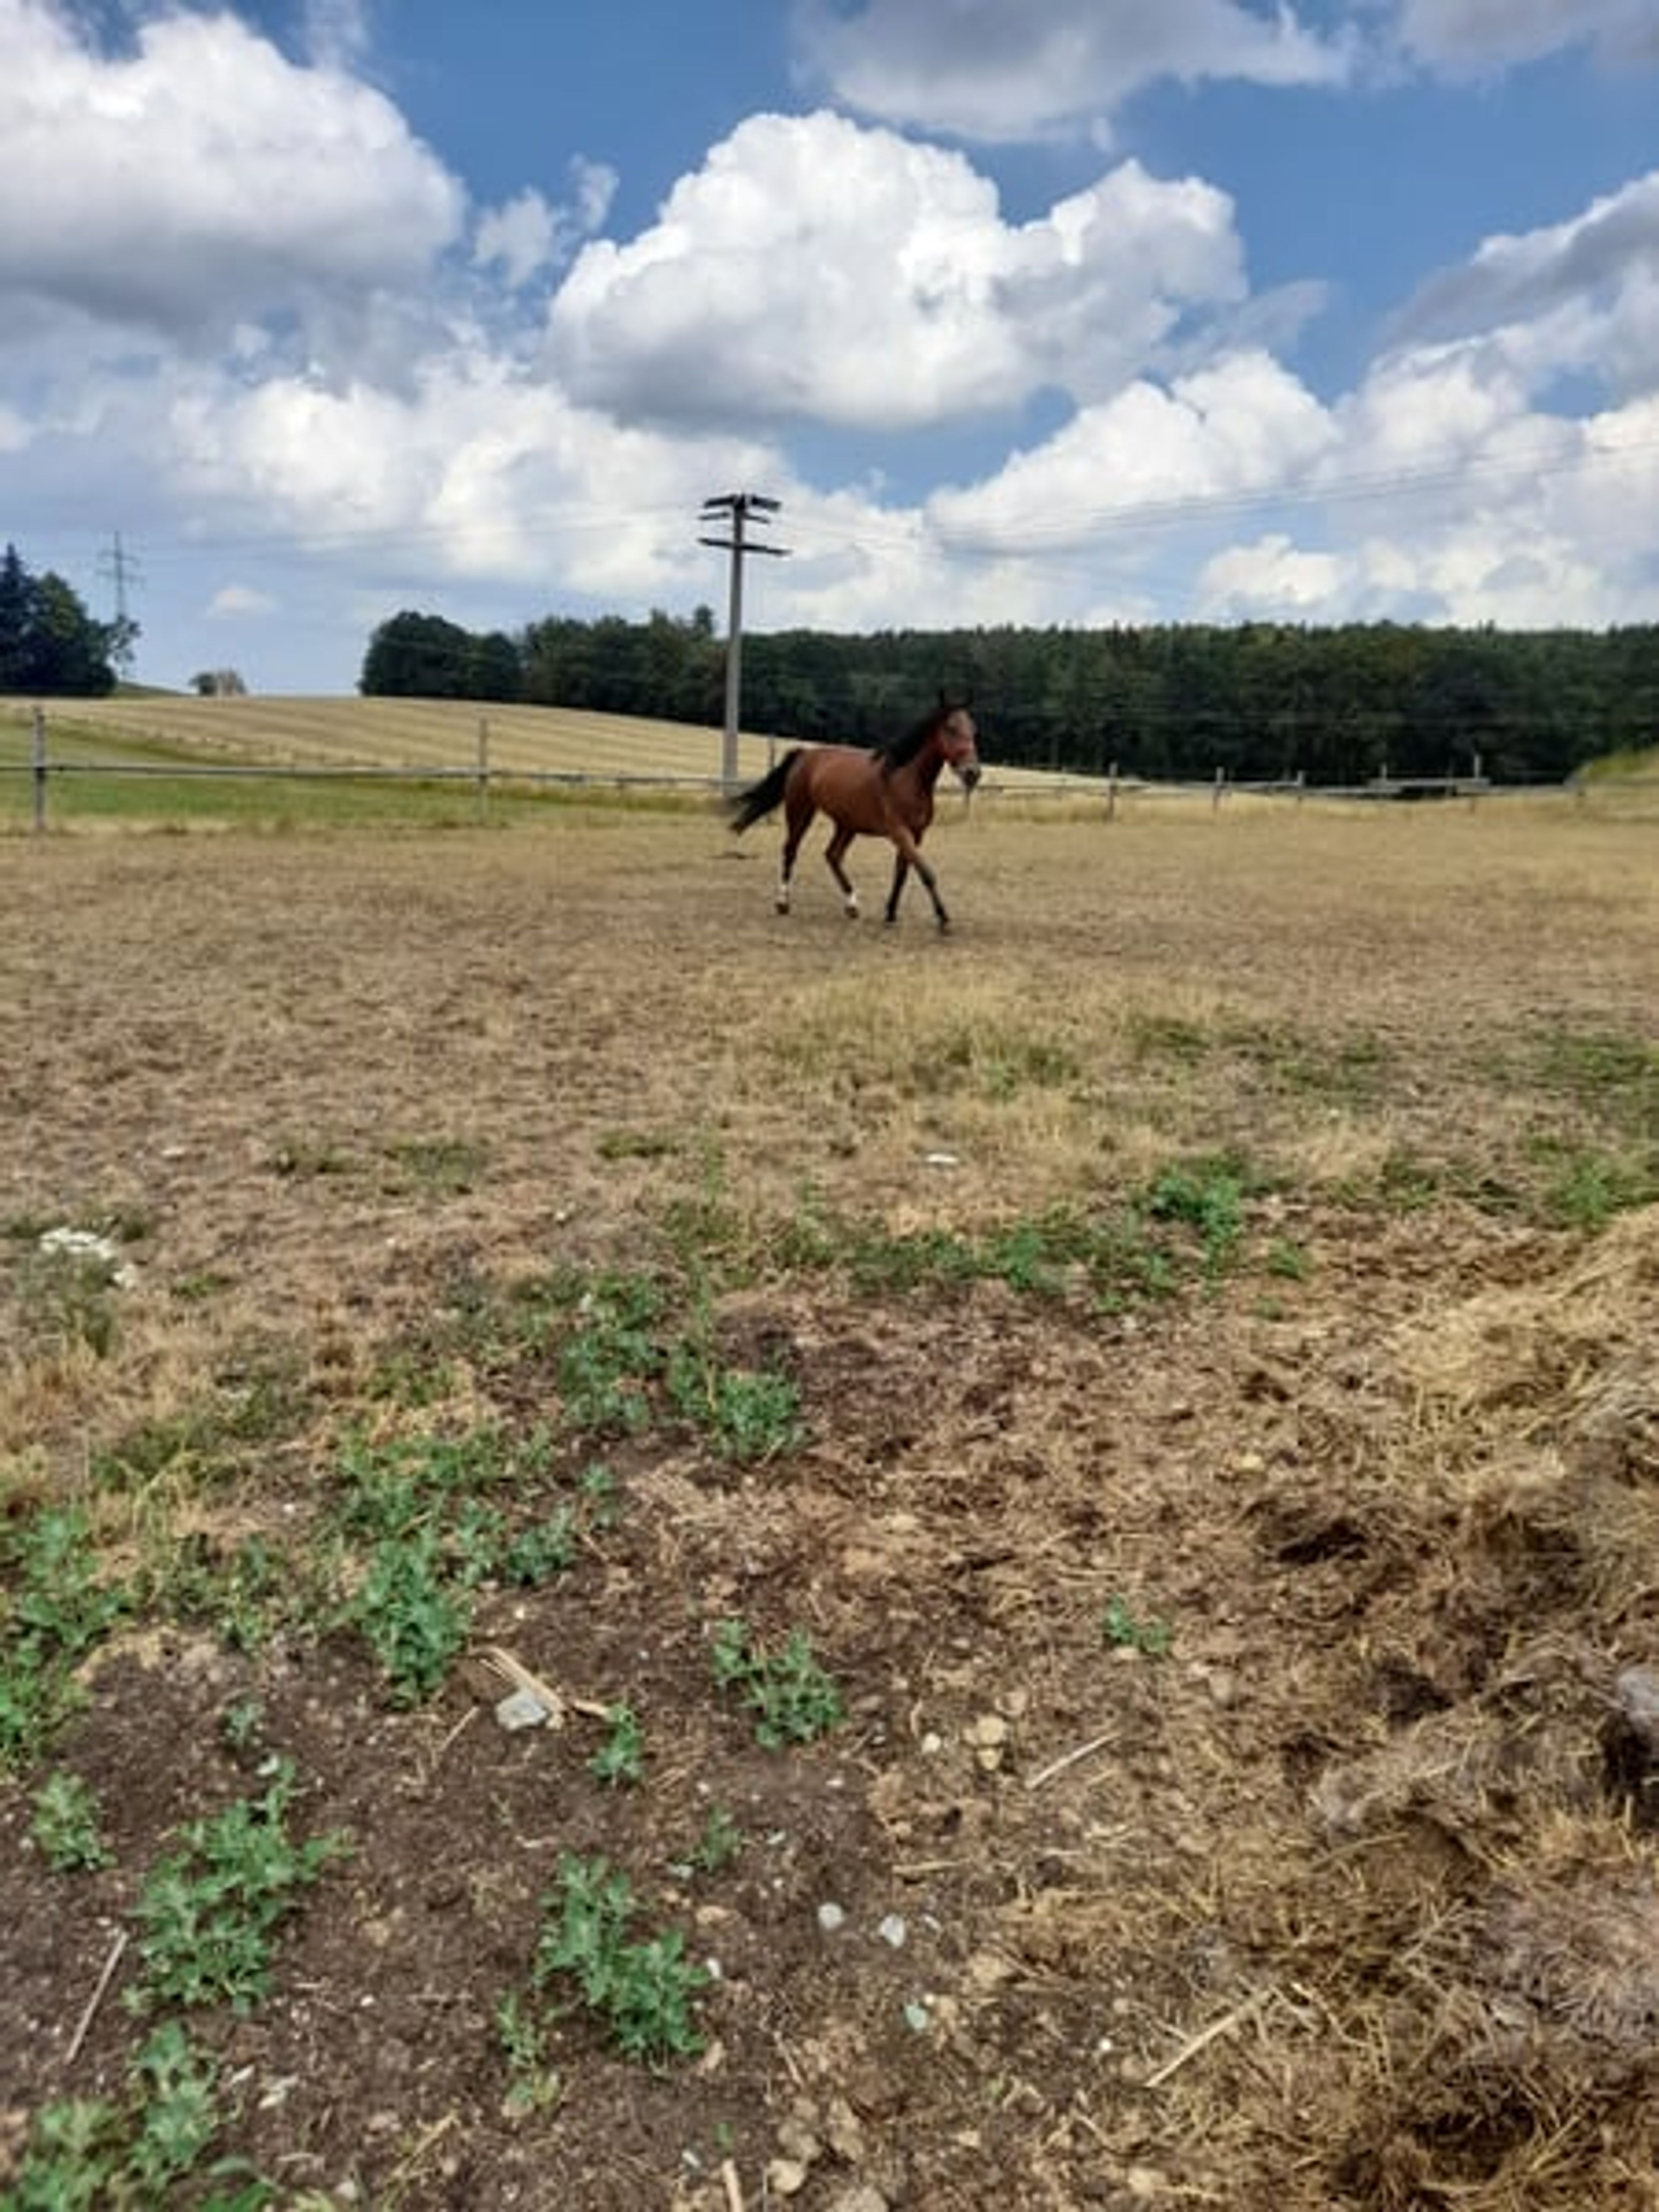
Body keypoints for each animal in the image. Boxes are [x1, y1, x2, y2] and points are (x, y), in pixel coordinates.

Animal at [727, 698, 981, 932]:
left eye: (973, 730)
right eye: (951, 728)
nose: (973, 773)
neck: (906, 777)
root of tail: (806, 754)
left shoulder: (916, 835)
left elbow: (902, 873)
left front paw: (890, 915)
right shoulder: (899, 832)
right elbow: (926, 873)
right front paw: (943, 919)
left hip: (847, 825)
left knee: (833, 856)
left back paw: (852, 905)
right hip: (801, 812)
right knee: (791, 851)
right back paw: (783, 903)